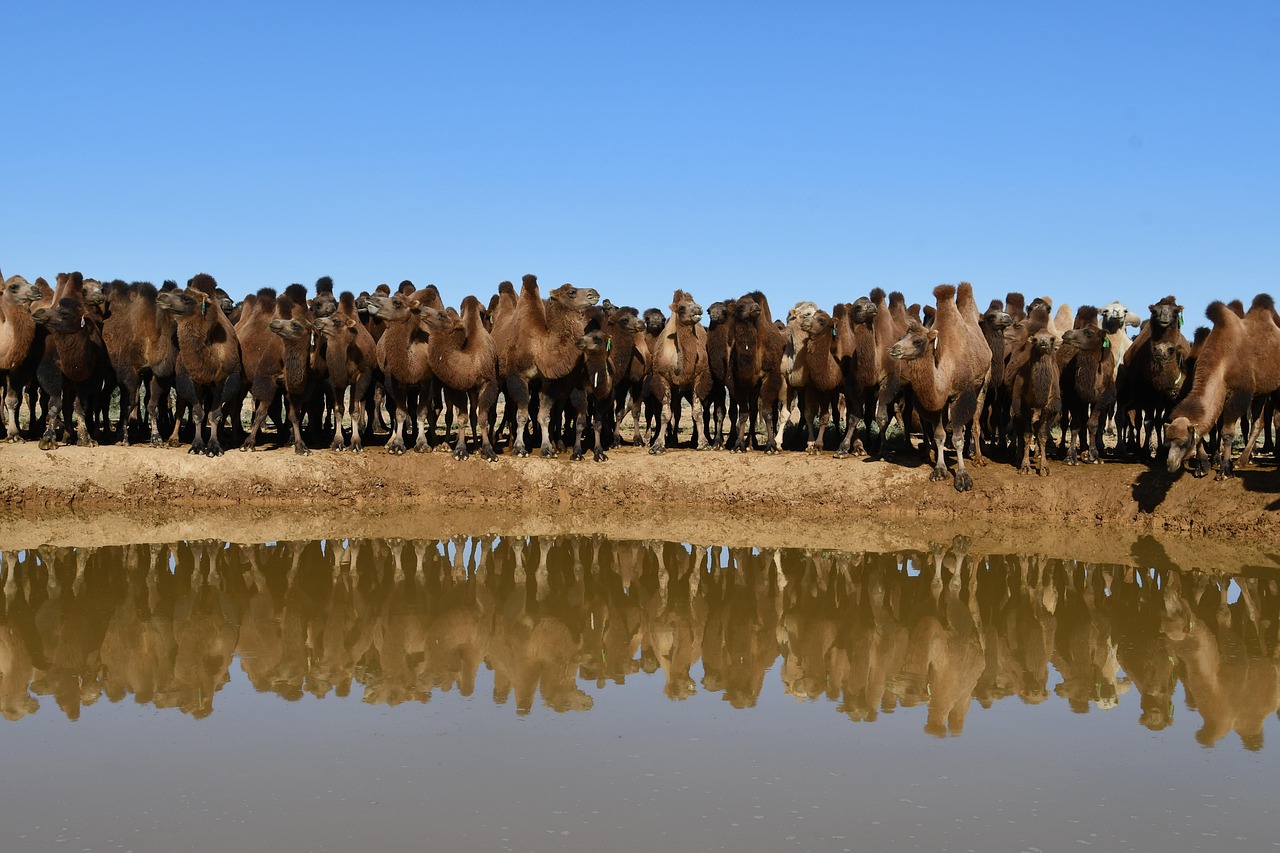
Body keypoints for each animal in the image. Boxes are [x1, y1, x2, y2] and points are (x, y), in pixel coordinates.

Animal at [155, 273, 243, 456]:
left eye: (186, 298)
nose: (161, 297)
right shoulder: (190, 379)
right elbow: (197, 413)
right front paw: (197, 446)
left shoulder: (223, 380)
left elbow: (215, 414)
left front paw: (214, 447)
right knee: (181, 406)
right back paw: (173, 438)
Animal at [312, 291, 377, 451]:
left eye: (335, 320)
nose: (317, 321)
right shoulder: (333, 380)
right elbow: (338, 409)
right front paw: (338, 442)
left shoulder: (362, 376)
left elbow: (354, 409)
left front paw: (355, 442)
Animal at [492, 274, 600, 457]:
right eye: (571, 292)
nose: (594, 293)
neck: (539, 348)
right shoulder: (518, 376)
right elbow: (522, 414)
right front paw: (520, 449)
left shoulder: (546, 381)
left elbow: (544, 415)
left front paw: (547, 448)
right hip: (500, 376)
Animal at [887, 284, 992, 491]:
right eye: (902, 336)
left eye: (918, 341)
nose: (894, 349)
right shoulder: (939, 402)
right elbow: (939, 435)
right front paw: (939, 470)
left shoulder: (959, 396)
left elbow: (957, 439)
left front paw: (962, 476)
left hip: (983, 384)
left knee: (976, 419)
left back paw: (978, 458)